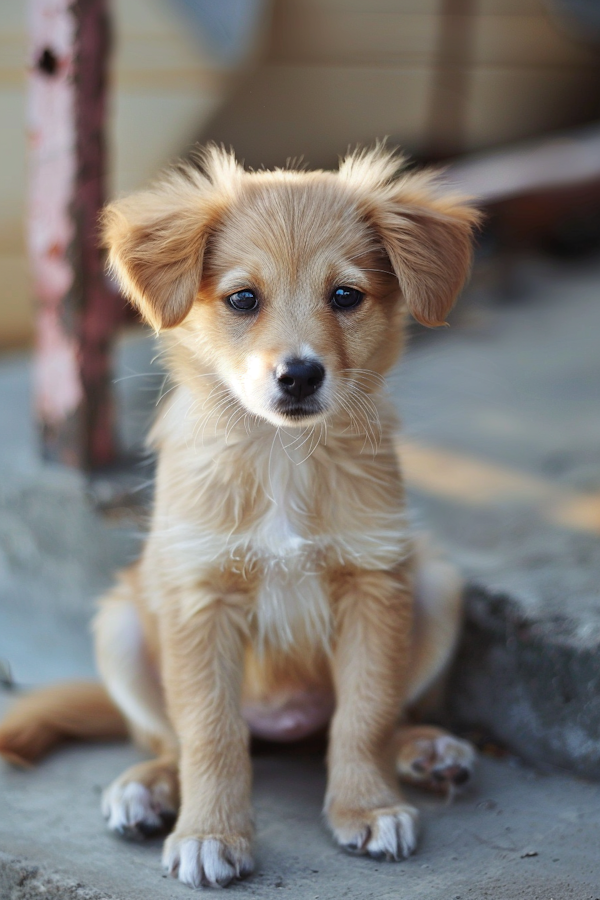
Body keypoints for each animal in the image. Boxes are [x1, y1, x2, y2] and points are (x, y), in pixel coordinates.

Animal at [0, 144, 478, 888]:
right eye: (243, 299)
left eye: (346, 296)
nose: (300, 376)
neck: (281, 455)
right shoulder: (201, 598)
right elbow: (210, 734)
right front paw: (210, 833)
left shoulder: (374, 581)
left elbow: (365, 712)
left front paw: (366, 807)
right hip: (121, 626)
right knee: (168, 740)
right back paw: (147, 788)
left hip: (435, 583)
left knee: (378, 715)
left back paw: (424, 748)